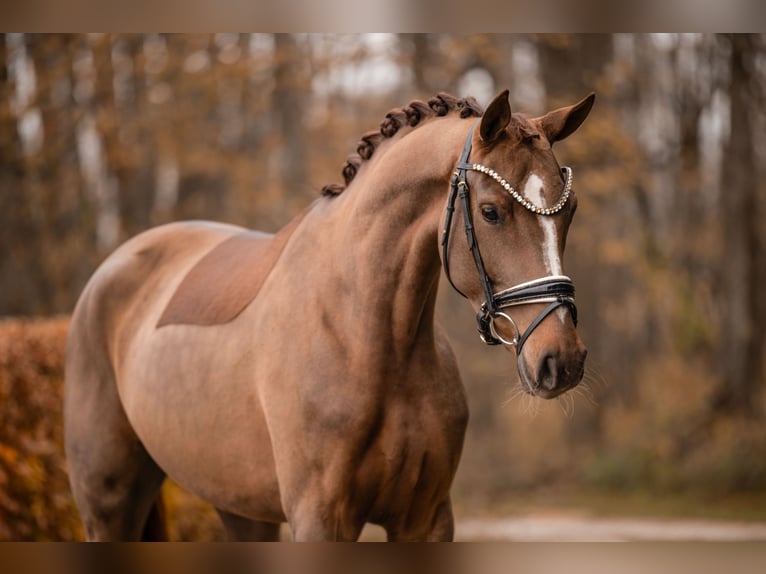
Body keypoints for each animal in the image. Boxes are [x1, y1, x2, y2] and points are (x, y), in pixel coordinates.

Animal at [64, 89, 594, 541]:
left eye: (569, 211)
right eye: (490, 212)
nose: (560, 359)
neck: (367, 336)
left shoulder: (426, 518)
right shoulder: (320, 518)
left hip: (240, 508)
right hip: (109, 503)